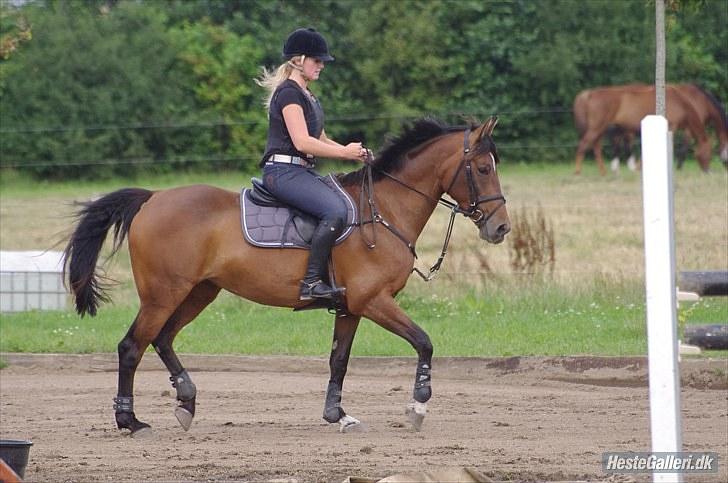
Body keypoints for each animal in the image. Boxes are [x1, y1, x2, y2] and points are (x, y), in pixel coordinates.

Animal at [64, 118, 512, 438]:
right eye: (482, 168)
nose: (501, 228)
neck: (384, 210)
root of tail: (153, 198)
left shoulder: (350, 308)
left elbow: (339, 359)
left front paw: (338, 415)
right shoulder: (374, 301)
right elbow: (424, 342)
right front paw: (418, 406)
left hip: (199, 292)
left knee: (162, 339)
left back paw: (187, 403)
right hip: (163, 294)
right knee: (132, 346)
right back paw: (130, 421)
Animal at [568, 84, 712, 176]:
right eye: (707, 153)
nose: (707, 171)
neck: (679, 102)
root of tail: (590, 93)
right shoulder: (671, 126)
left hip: (599, 130)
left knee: (596, 148)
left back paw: (603, 172)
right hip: (597, 128)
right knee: (583, 146)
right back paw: (577, 172)